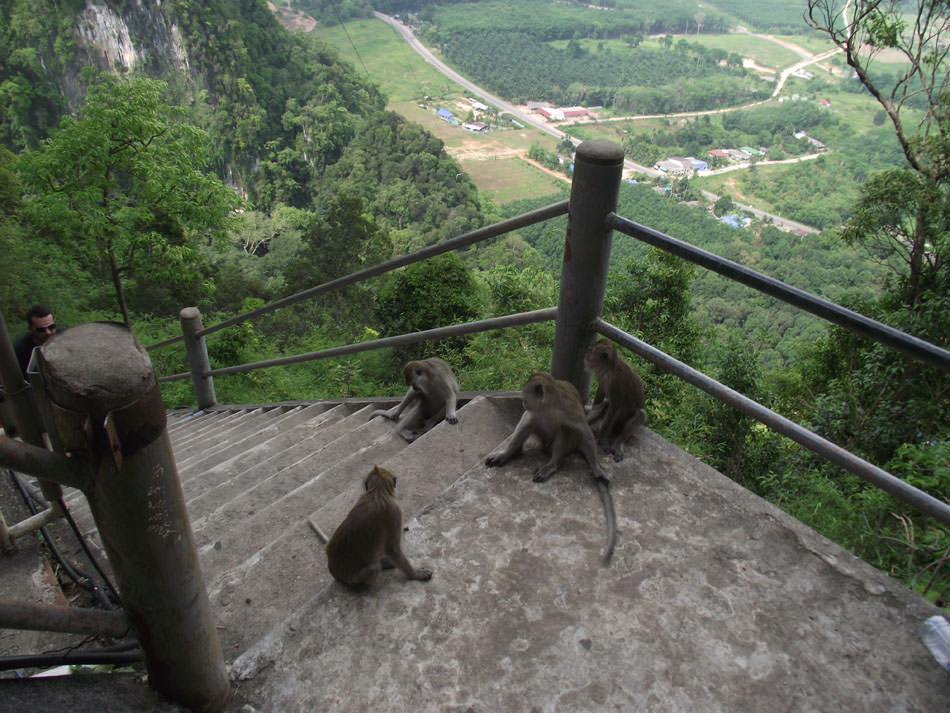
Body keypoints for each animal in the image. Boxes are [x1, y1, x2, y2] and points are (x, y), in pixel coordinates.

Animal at [488, 370, 620, 564]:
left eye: (525, 395)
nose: (523, 402)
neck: (549, 406)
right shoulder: (535, 411)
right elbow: (525, 424)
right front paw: (505, 453)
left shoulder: (569, 410)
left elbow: (584, 431)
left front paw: (597, 468)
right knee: (530, 425)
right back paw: (513, 453)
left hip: (563, 443)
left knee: (566, 431)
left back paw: (552, 464)